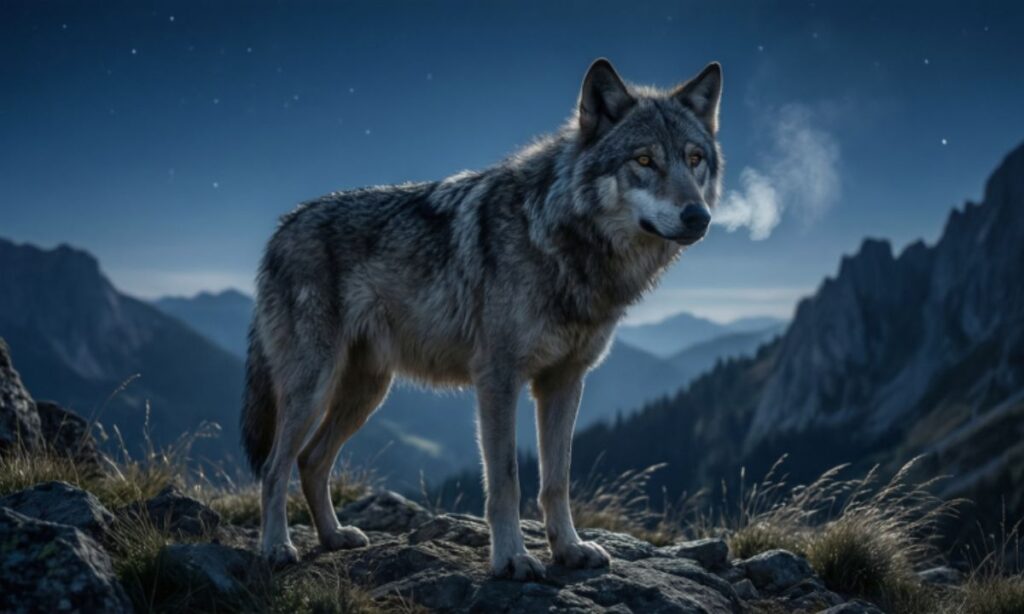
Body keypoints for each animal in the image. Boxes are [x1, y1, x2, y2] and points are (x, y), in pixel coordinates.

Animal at [241, 58, 723, 578]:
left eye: (695, 158)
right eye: (644, 161)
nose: (698, 216)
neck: (561, 240)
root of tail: (282, 228)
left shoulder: (564, 382)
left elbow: (556, 480)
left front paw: (569, 549)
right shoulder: (498, 379)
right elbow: (507, 480)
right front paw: (512, 558)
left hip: (367, 391)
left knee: (311, 460)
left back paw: (333, 537)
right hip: (314, 386)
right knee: (275, 467)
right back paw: (276, 547)